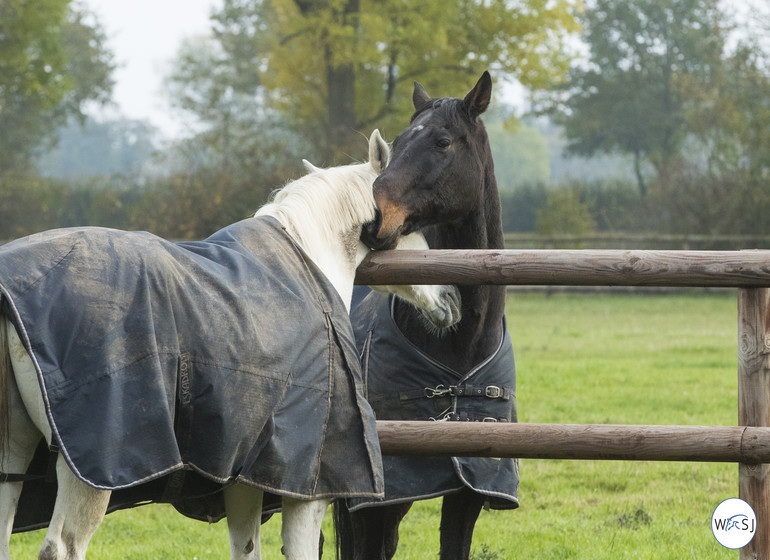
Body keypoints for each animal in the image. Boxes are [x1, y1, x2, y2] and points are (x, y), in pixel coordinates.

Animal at [0, 129, 456, 556]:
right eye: (416, 223)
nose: (452, 296)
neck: (310, 257)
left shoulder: (245, 478)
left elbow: (246, 548)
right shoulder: (309, 489)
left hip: (13, 461)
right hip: (91, 474)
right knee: (62, 546)